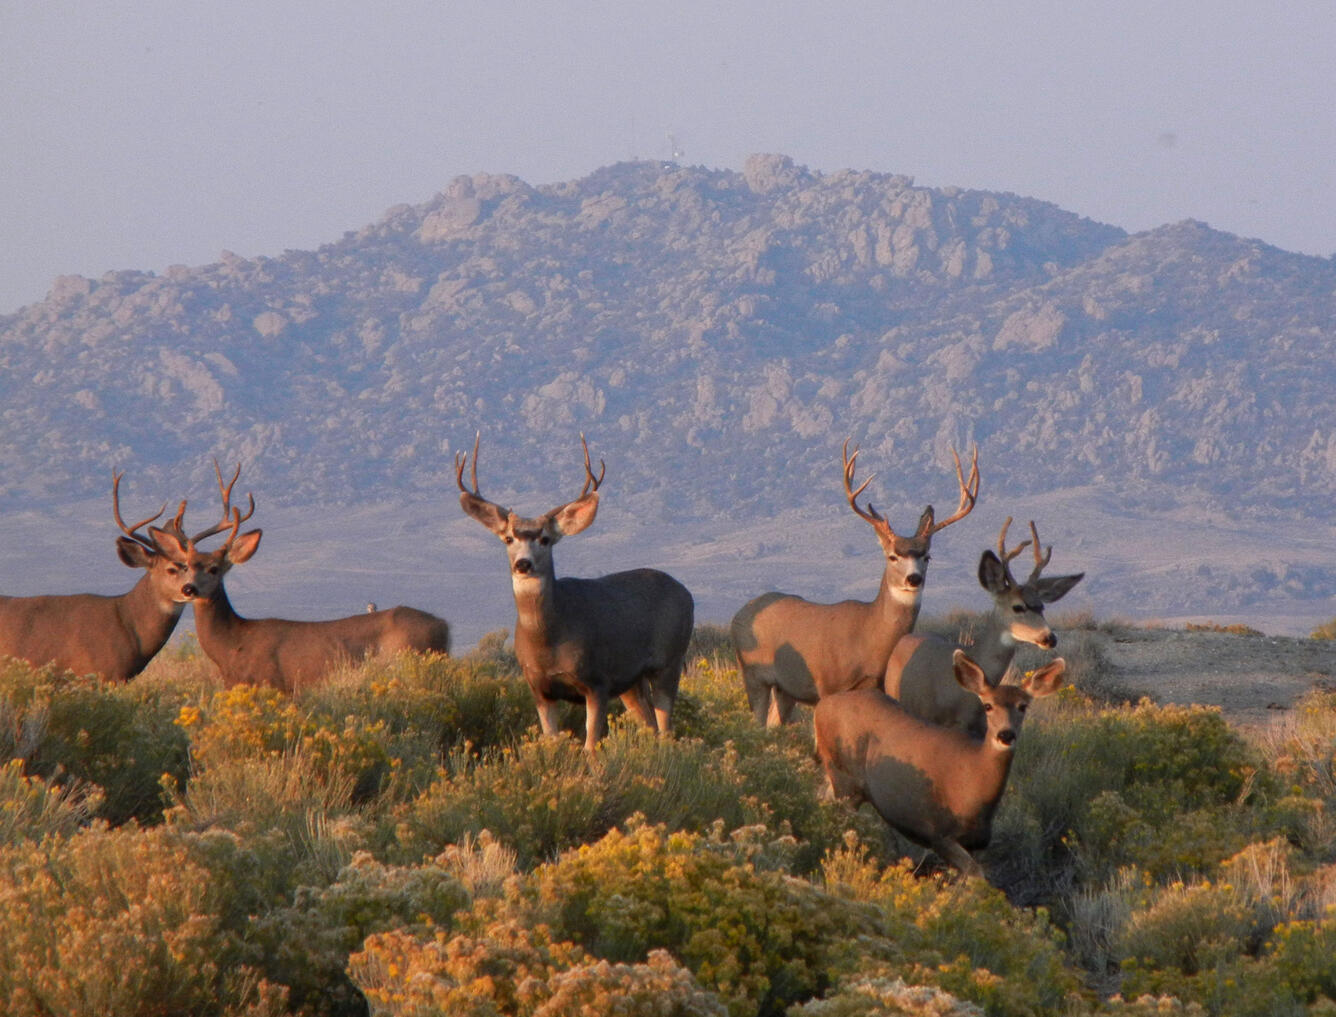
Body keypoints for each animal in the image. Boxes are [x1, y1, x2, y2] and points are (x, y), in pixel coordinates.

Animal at [150, 462, 451, 693]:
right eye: (185, 566)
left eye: (214, 568)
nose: (189, 589)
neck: (233, 646)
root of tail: (444, 625)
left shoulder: (270, 682)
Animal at [456, 434, 694, 751]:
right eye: (508, 538)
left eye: (545, 539)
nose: (523, 564)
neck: (549, 640)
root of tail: (686, 593)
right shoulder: (539, 688)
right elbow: (551, 740)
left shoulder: (597, 680)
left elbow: (590, 745)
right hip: (632, 680)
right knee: (650, 725)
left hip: (669, 660)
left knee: (666, 726)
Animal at [731, 440, 979, 727]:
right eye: (892, 556)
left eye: (927, 556)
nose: (914, 578)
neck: (869, 637)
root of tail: (740, 613)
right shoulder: (827, 683)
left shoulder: (876, 687)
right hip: (752, 673)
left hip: (785, 688)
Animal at [815, 649, 1065, 878]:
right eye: (988, 706)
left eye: (1023, 706)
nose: (1006, 735)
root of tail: (821, 707)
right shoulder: (938, 832)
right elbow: (975, 875)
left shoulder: (976, 843)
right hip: (845, 779)